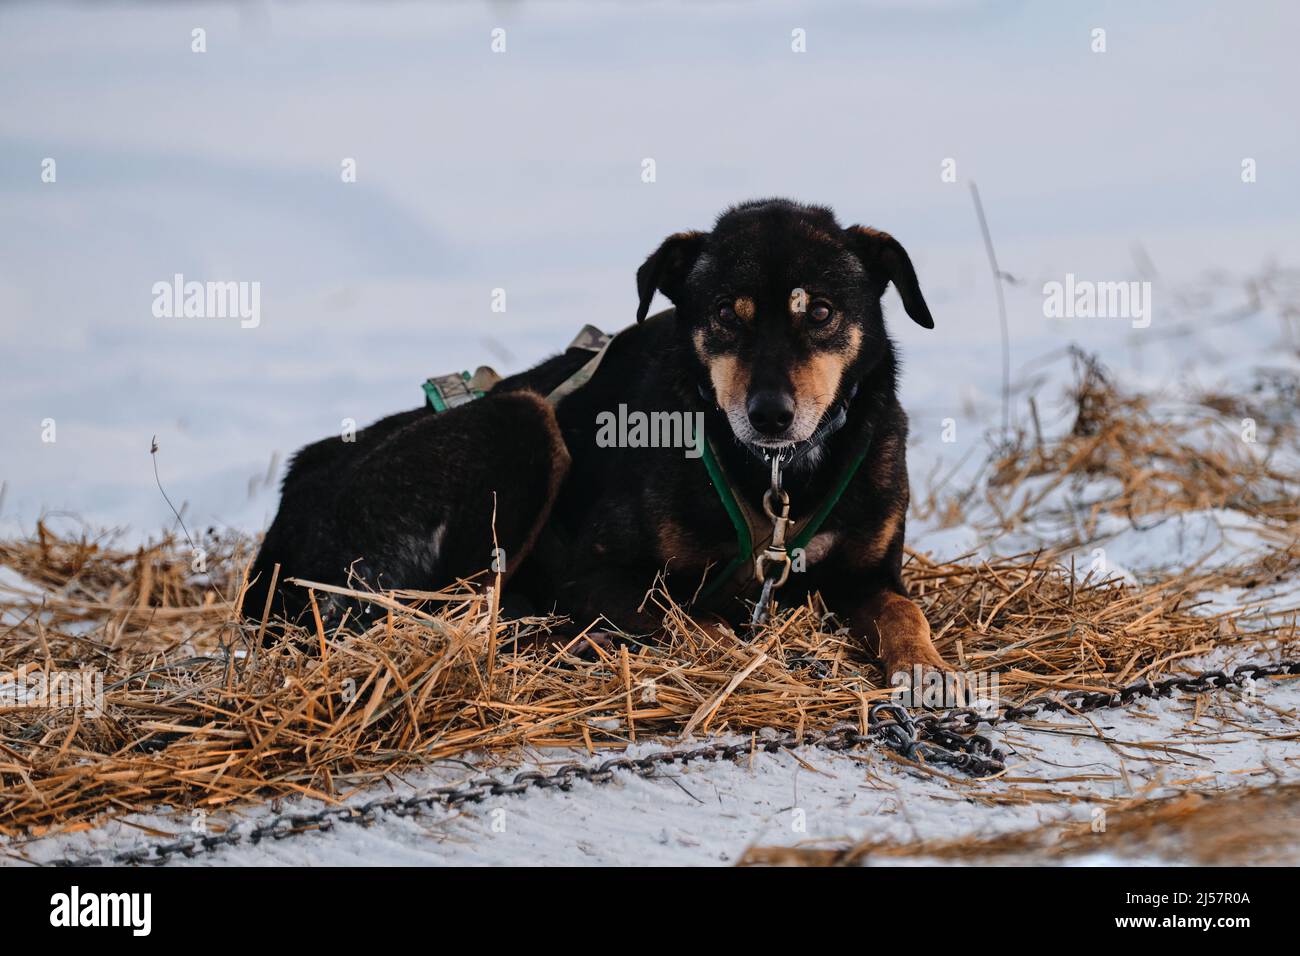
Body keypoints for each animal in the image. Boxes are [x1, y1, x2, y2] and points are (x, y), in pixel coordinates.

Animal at [245, 200, 956, 681]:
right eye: (725, 314)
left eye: (823, 312)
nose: (770, 415)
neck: (776, 478)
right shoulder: (595, 576)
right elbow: (694, 616)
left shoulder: (867, 575)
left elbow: (905, 612)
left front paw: (928, 668)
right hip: (519, 422)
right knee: (464, 611)